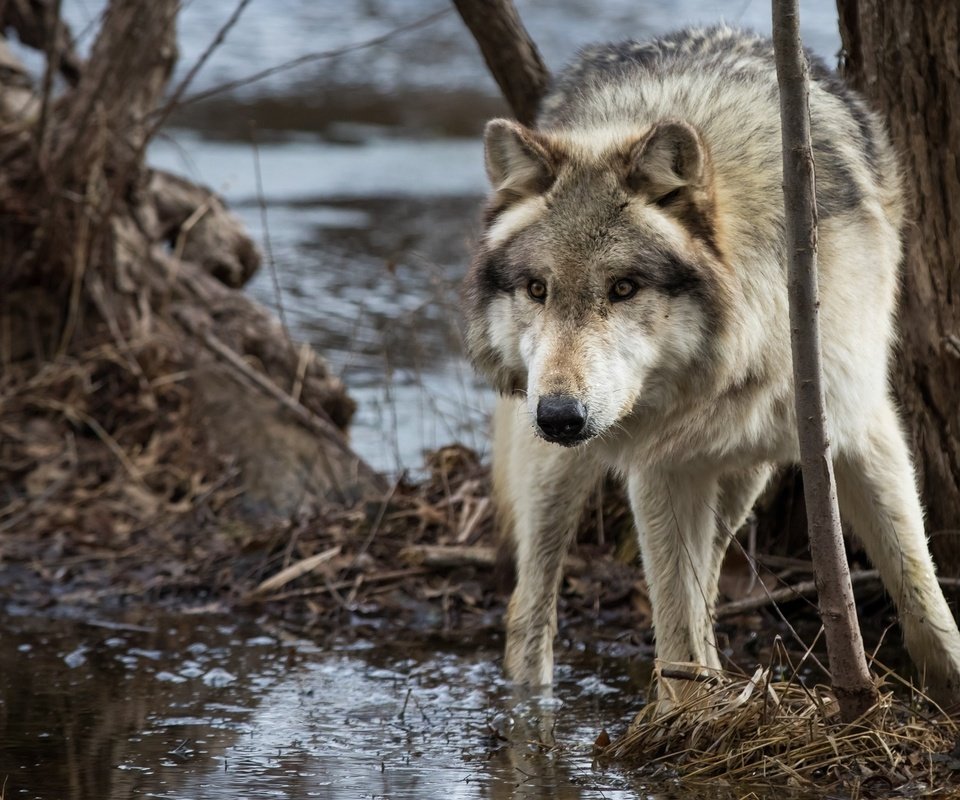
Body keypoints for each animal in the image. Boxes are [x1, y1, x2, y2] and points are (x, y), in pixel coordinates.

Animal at [460, 23, 960, 700]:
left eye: (623, 288)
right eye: (537, 289)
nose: (559, 416)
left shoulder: (861, 427)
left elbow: (922, 596)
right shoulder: (660, 466)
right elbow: (675, 631)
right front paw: (687, 716)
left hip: (743, 474)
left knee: (711, 570)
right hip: (558, 470)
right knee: (529, 609)